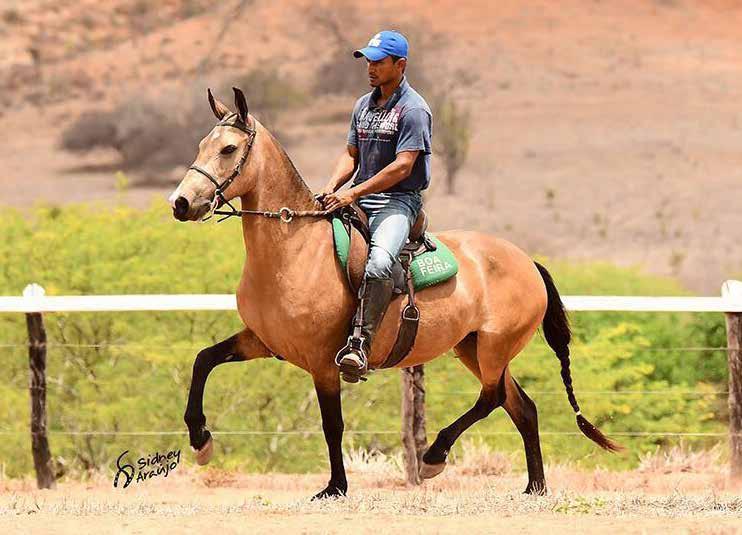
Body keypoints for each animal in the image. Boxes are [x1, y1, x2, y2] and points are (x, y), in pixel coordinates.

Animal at [169, 86, 620, 500]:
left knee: (491, 397)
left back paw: (435, 455)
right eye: (202, 144)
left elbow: (332, 424)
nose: (181, 202)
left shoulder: (323, 363)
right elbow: (203, 360)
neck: (294, 249)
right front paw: (200, 440)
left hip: (494, 347)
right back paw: (535, 486)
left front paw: (335, 487)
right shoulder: (261, 341)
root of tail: (528, 262)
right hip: (472, 349)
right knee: (522, 407)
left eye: (228, 148)